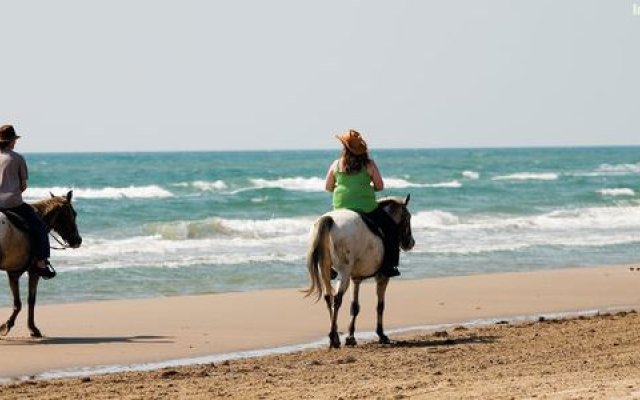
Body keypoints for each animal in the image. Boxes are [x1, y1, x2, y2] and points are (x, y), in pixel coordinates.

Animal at [0, 191, 81, 338]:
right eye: (74, 213)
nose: (78, 240)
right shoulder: (34, 272)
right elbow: (30, 300)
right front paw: (31, 328)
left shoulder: (13, 273)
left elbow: (17, 302)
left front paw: (8, 325)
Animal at [304, 195, 416, 348]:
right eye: (408, 217)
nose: (411, 243)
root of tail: (329, 220)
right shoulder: (382, 277)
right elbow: (380, 306)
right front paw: (381, 334)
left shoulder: (355, 278)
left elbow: (354, 306)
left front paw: (351, 336)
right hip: (344, 272)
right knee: (337, 299)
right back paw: (333, 337)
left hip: (326, 270)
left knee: (329, 297)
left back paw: (335, 336)